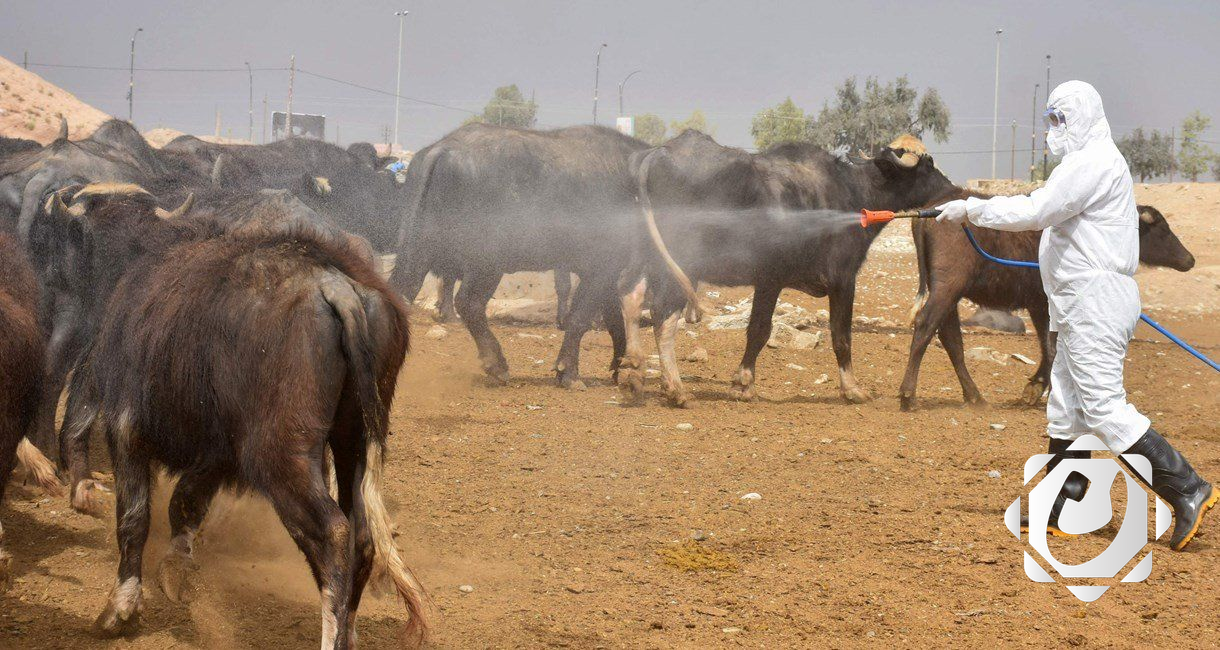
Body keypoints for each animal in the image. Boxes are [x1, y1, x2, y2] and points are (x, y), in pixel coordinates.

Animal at [45, 182, 427, 643]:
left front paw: (120, 608)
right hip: (354, 441)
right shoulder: (218, 452)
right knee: (362, 535)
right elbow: (185, 503)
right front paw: (175, 570)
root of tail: (336, 286)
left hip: (281, 456)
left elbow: (134, 518)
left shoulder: (126, 428)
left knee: (332, 534)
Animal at [392, 123, 649, 387]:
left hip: (417, 250)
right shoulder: (601, 268)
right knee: (469, 303)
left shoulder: (607, 272)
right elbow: (581, 318)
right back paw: (497, 364)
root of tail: (444, 147)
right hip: (486, 262)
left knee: (402, 292)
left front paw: (618, 366)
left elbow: (613, 320)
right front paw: (569, 373)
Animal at [624, 130, 956, 404]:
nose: (951, 187)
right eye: (928, 165)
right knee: (663, 317)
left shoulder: (770, 282)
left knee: (630, 298)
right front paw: (852, 389)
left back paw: (635, 372)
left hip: (645, 258)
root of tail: (658, 153)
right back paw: (674, 389)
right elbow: (833, 335)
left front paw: (742, 383)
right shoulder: (835, 279)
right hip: (680, 267)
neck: (853, 194)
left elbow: (757, 331)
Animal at [902, 200, 1195, 407]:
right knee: (926, 325)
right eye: (1162, 229)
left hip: (950, 294)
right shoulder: (1049, 303)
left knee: (950, 339)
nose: (1190, 259)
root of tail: (930, 216)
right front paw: (1045, 390)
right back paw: (908, 394)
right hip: (947, 288)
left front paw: (1035, 387)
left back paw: (975, 397)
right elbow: (1054, 346)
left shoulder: (1038, 305)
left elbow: (1048, 346)